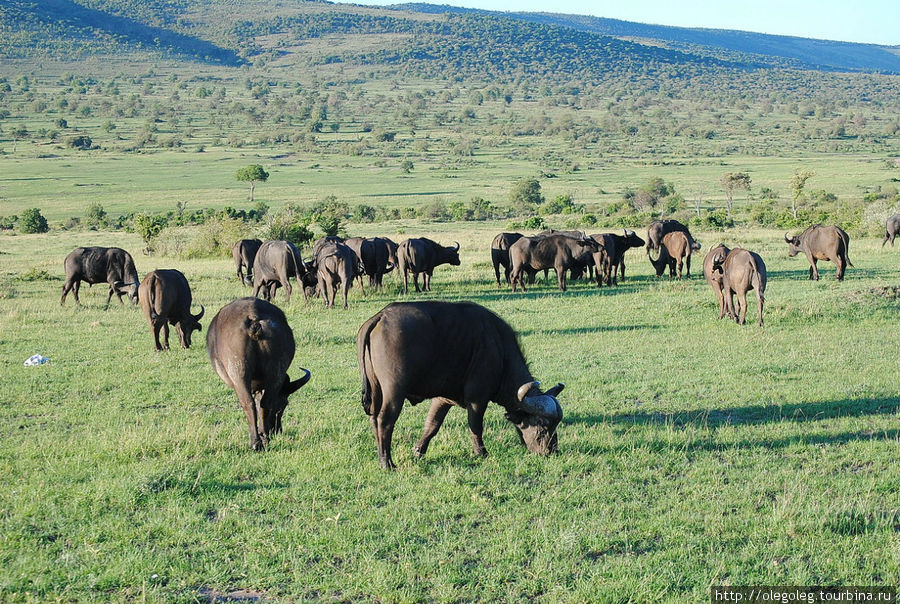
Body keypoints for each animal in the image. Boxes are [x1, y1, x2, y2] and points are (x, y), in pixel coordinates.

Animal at [207, 296, 312, 448]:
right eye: (284, 403)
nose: (277, 430)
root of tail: (254, 318)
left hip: (238, 373)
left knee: (248, 403)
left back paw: (255, 442)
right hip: (276, 372)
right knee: (265, 402)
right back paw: (264, 438)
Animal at [356, 300, 564, 470]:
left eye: (556, 425)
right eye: (542, 424)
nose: (551, 451)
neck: (500, 352)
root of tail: (381, 316)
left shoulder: (442, 399)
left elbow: (432, 425)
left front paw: (418, 451)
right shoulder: (477, 399)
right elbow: (475, 426)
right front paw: (481, 452)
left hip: (376, 391)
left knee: (374, 419)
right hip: (394, 392)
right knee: (385, 421)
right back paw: (387, 463)